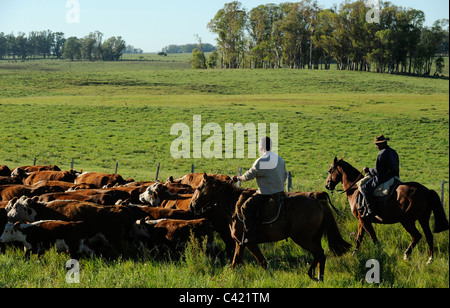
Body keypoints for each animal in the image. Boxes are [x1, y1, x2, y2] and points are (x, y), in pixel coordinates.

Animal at [188, 173, 350, 282]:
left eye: (199, 188)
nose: (192, 205)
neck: (233, 204)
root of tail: (317, 200)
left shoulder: (249, 243)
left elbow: (262, 262)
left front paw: (271, 277)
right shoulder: (240, 244)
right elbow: (235, 262)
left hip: (302, 239)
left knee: (319, 254)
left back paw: (315, 276)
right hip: (312, 238)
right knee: (319, 255)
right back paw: (316, 276)